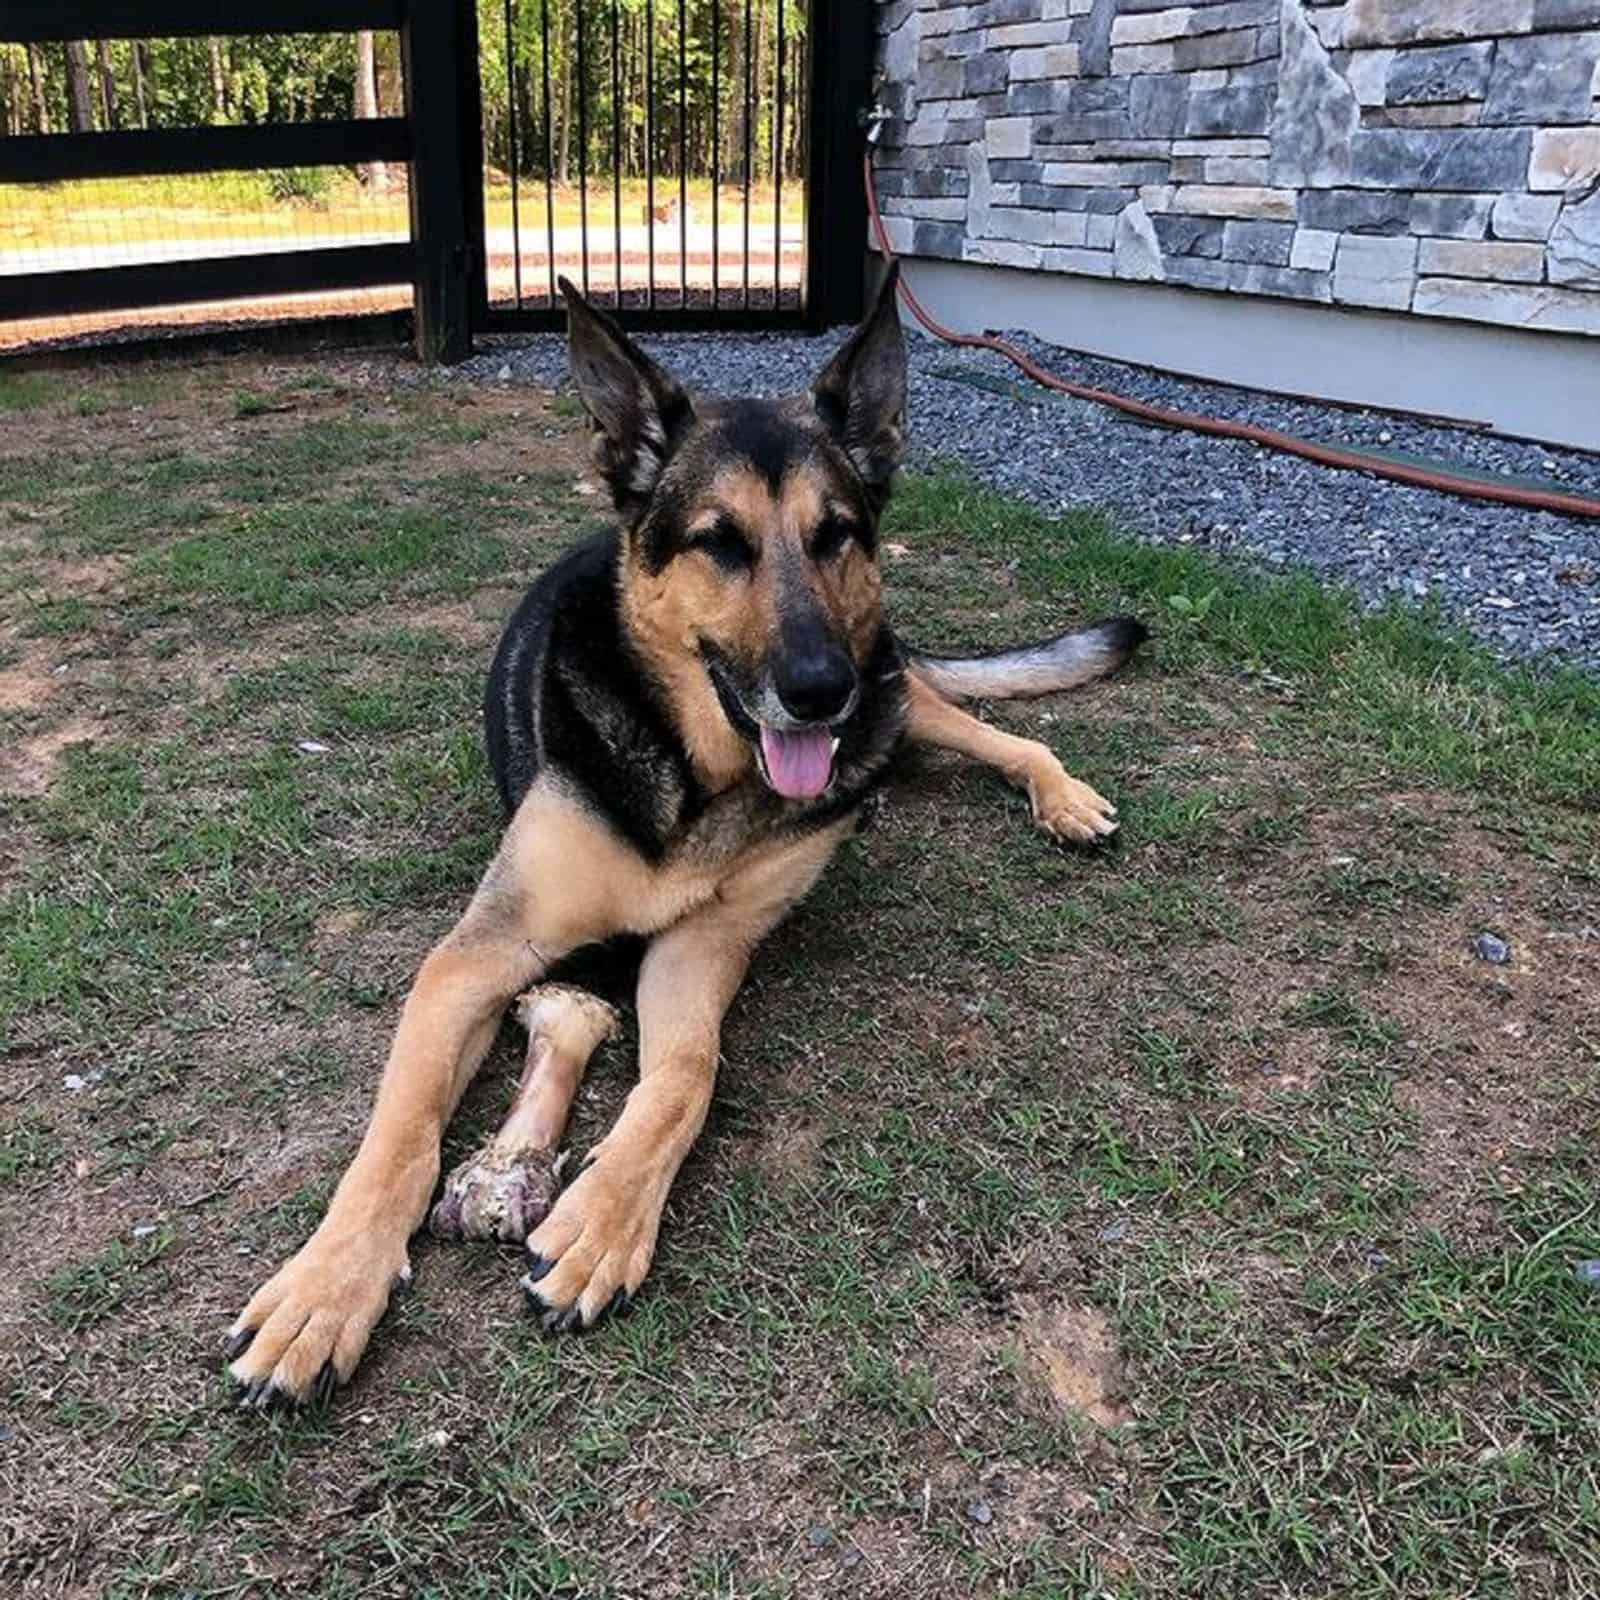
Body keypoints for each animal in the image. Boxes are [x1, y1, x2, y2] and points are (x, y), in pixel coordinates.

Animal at [228, 268, 1152, 1408]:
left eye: (836, 532)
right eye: (719, 541)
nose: (819, 692)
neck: (695, 777)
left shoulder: (701, 947)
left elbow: (685, 1078)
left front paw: (603, 1217)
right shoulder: (476, 958)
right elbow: (397, 1137)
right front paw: (327, 1287)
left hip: (897, 698)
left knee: (996, 730)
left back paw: (1059, 796)